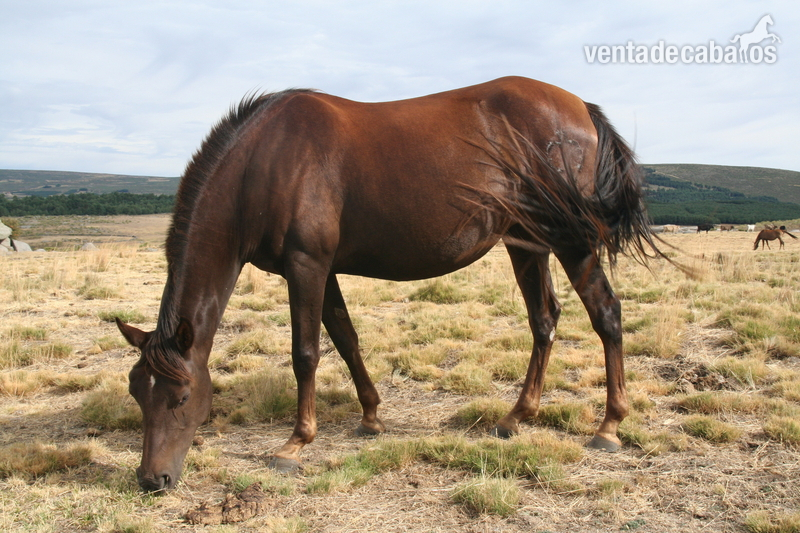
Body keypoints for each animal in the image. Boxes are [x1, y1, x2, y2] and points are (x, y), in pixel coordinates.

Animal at [115, 76, 663, 492]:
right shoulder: (321, 269)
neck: (265, 162)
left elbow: (306, 353)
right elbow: (346, 338)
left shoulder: (307, 265)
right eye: (137, 393)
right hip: (527, 243)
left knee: (606, 313)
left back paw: (610, 425)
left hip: (571, 240)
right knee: (544, 319)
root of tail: (581, 108)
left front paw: (295, 443)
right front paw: (371, 417)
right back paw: (515, 417)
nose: (152, 479)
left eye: (181, 398)